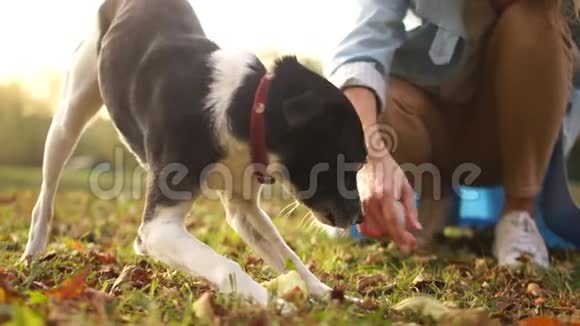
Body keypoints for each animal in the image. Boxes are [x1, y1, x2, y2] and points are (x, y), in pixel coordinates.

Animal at [22, 0, 368, 306]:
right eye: (351, 163)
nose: (361, 217)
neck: (243, 106)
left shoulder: (242, 207)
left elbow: (290, 257)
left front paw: (327, 295)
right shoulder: (157, 229)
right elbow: (228, 266)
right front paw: (275, 305)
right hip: (69, 117)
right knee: (45, 196)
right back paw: (33, 254)